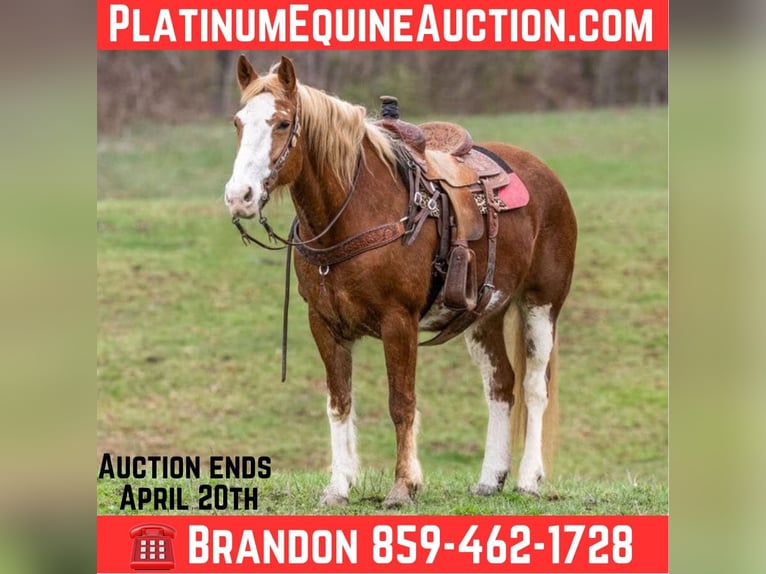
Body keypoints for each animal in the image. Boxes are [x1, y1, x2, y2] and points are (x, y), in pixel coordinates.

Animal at [223, 55, 577, 507]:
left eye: (283, 123)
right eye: (238, 121)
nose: (240, 196)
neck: (356, 212)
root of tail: (546, 176)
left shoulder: (399, 322)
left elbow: (401, 403)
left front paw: (403, 486)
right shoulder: (324, 324)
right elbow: (339, 401)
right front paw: (338, 487)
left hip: (541, 303)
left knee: (534, 387)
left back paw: (529, 479)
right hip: (484, 316)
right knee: (501, 385)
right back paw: (490, 478)